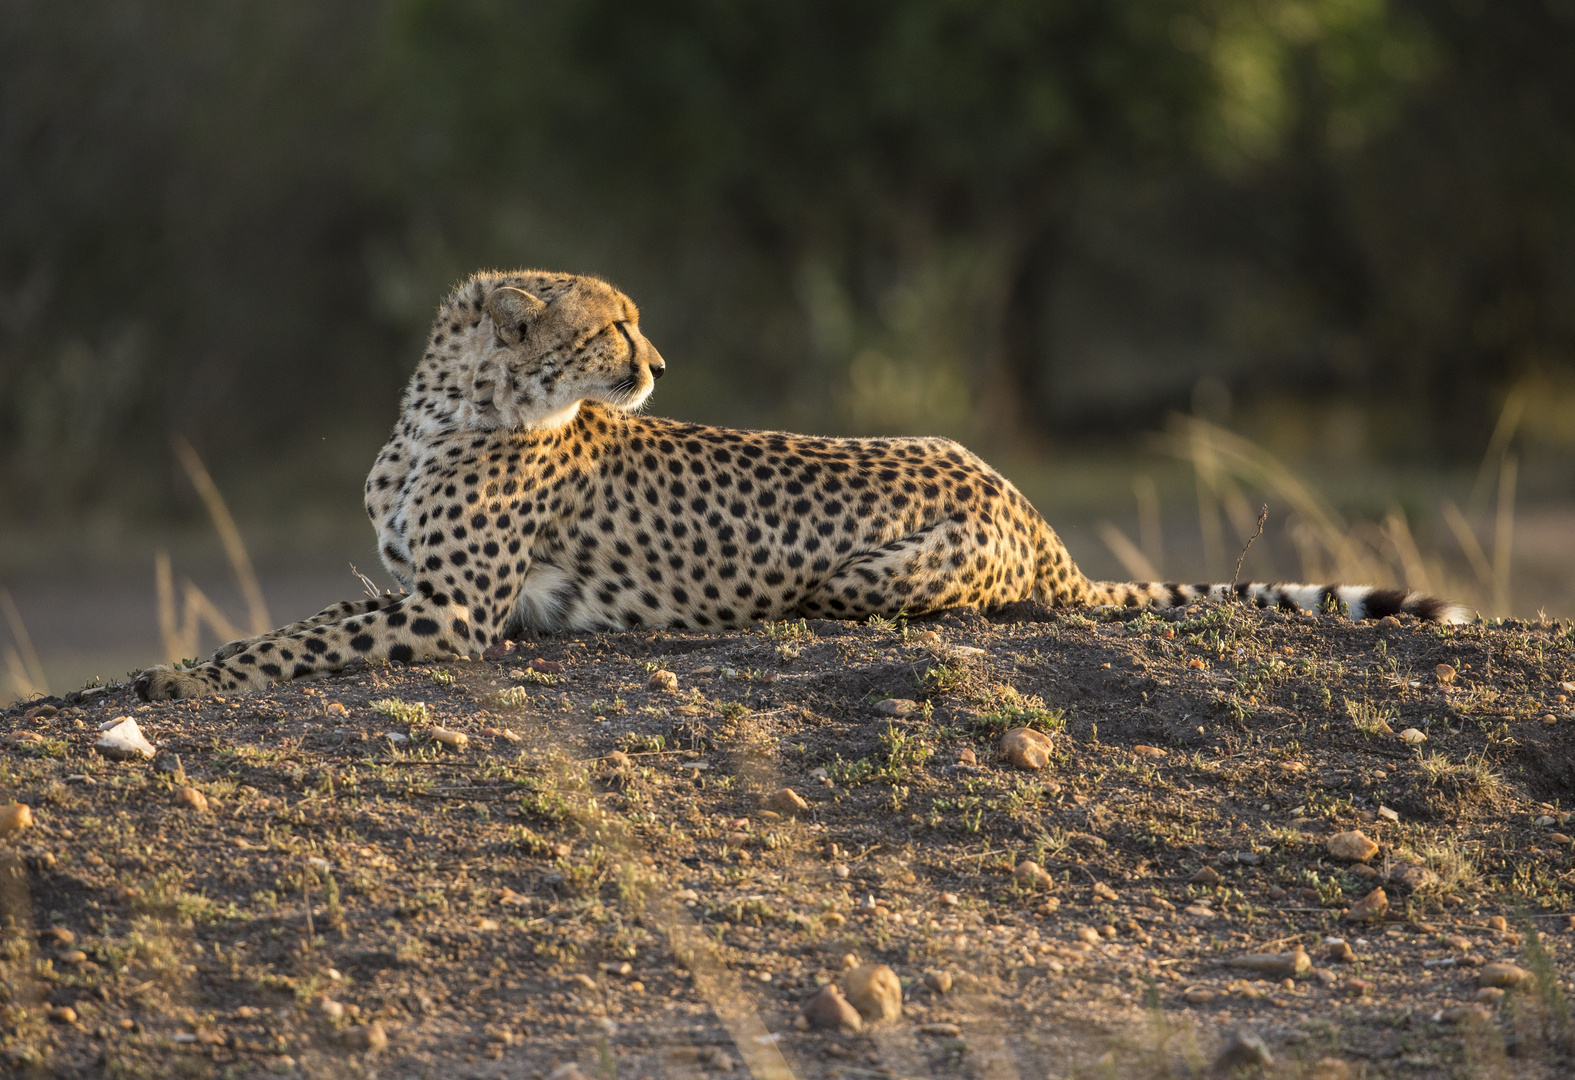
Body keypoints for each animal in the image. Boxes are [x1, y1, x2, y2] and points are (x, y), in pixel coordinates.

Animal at [132, 266, 1461, 699]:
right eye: (612, 326)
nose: (660, 366)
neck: (448, 409)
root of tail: (1039, 522)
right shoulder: (414, 587)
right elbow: (308, 617)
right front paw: (186, 661)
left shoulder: (454, 611)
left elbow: (298, 636)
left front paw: (179, 674)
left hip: (884, 570)